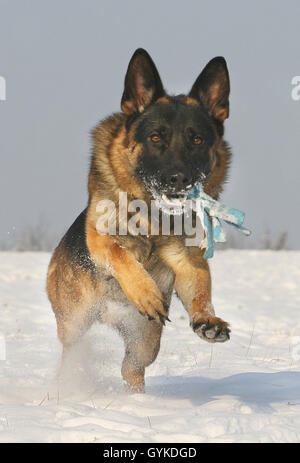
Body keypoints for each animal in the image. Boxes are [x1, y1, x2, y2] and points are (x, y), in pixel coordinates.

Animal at [47, 49, 231, 394]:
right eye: (156, 137)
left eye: (197, 140)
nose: (179, 179)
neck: (155, 216)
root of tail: (108, 315)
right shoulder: (100, 237)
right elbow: (119, 252)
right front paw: (144, 291)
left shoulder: (189, 259)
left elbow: (201, 289)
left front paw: (207, 320)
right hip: (74, 322)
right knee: (71, 354)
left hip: (145, 341)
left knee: (130, 369)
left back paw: (137, 400)